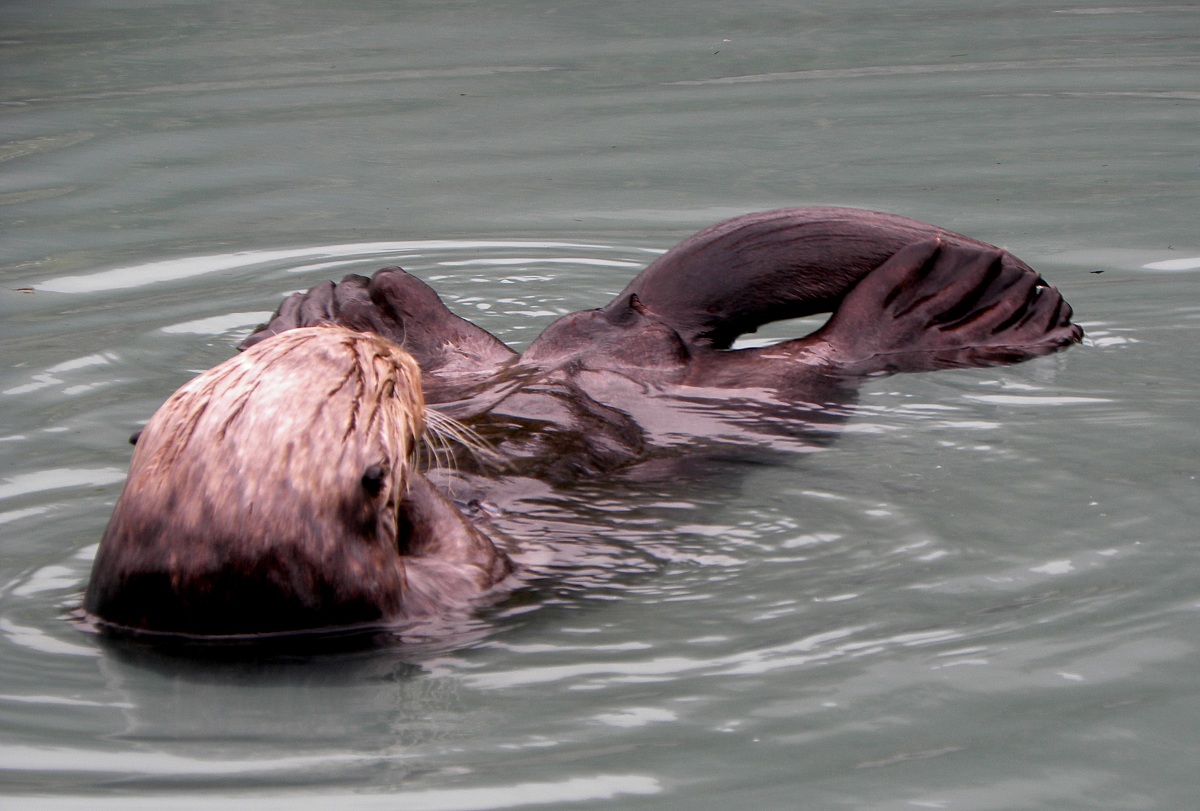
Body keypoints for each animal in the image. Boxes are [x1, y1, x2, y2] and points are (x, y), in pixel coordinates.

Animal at [84, 207, 1082, 640]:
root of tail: (635, 334)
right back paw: (961, 309)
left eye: (351, 372)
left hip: (521, 355)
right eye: (371, 390)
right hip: (756, 402)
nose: (375, 352)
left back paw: (350, 297)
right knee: (839, 354)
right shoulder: (446, 588)